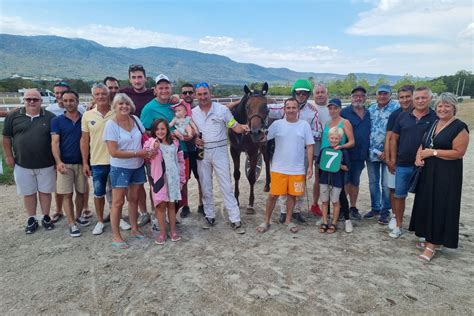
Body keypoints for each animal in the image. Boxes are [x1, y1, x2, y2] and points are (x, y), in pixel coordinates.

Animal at [229, 82, 272, 214]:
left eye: (265, 106)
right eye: (247, 107)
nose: (256, 132)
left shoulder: (253, 151)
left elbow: (252, 176)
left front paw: (250, 204)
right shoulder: (234, 150)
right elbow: (236, 174)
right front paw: (236, 199)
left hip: (264, 144)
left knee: (267, 160)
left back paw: (267, 185)